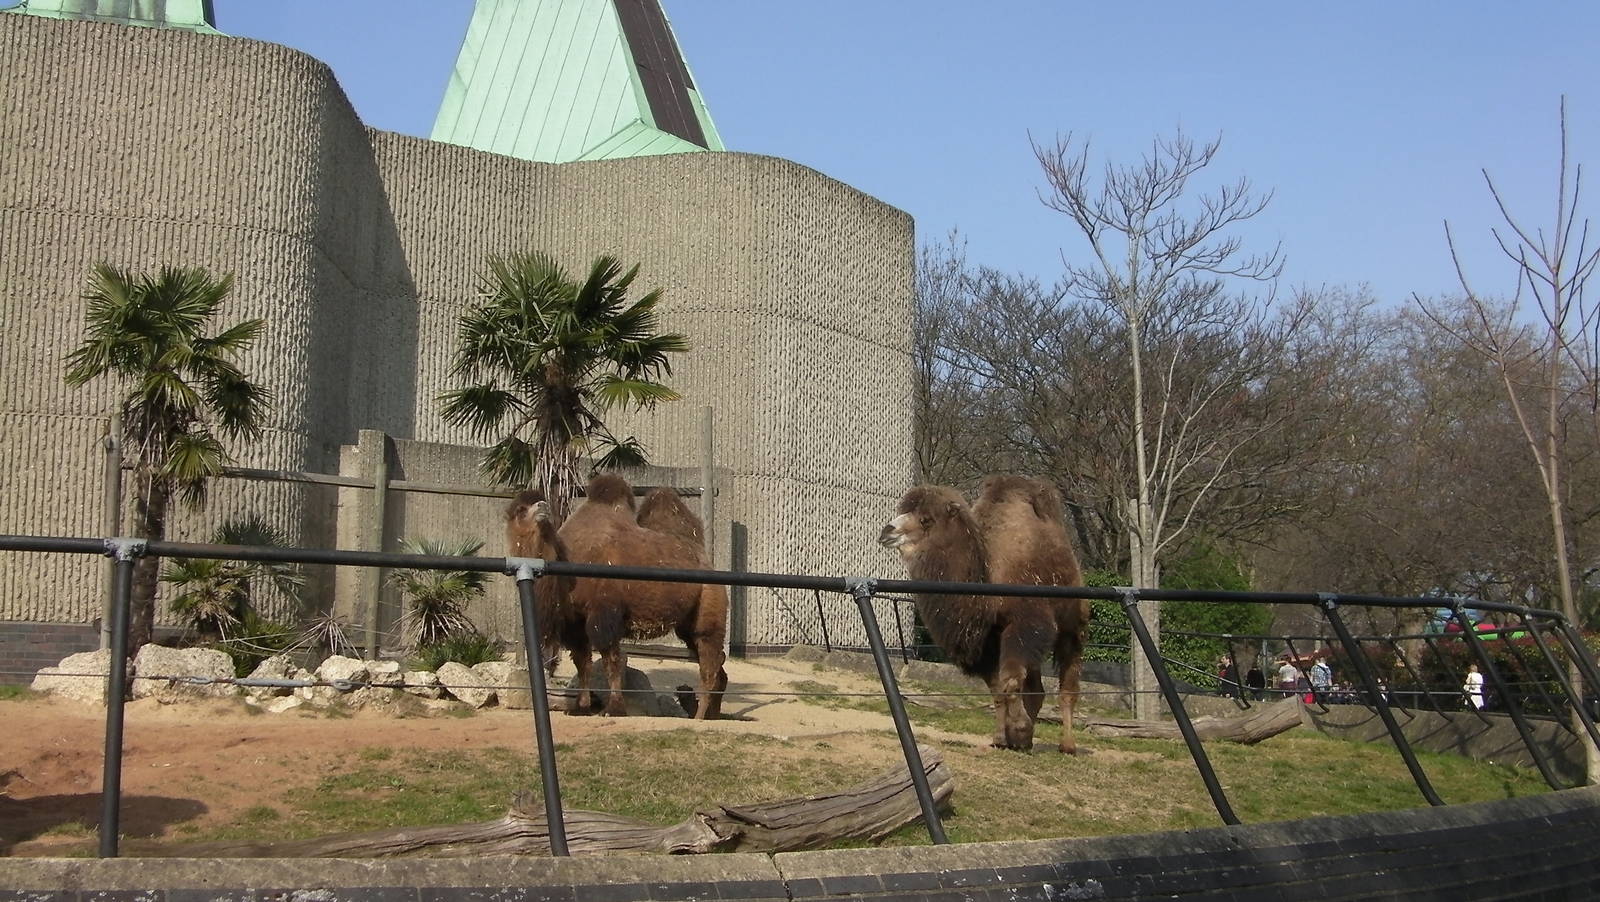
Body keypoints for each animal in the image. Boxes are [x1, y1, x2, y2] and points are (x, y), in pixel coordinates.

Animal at [552, 474, 728, 719]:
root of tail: (708, 562)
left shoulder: (604, 614)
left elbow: (611, 661)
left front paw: (613, 709)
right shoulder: (575, 621)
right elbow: (582, 661)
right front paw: (580, 707)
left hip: (709, 603)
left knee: (708, 663)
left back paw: (699, 716)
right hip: (687, 624)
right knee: (716, 664)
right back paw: (712, 714)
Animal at [879, 476, 1089, 753]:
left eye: (926, 519)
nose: (887, 531)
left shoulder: (1024, 624)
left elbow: (1010, 680)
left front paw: (1019, 730)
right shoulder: (986, 639)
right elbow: (998, 689)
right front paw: (1004, 738)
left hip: (1073, 625)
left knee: (1068, 684)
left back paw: (1067, 745)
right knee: (1037, 688)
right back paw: (1027, 742)